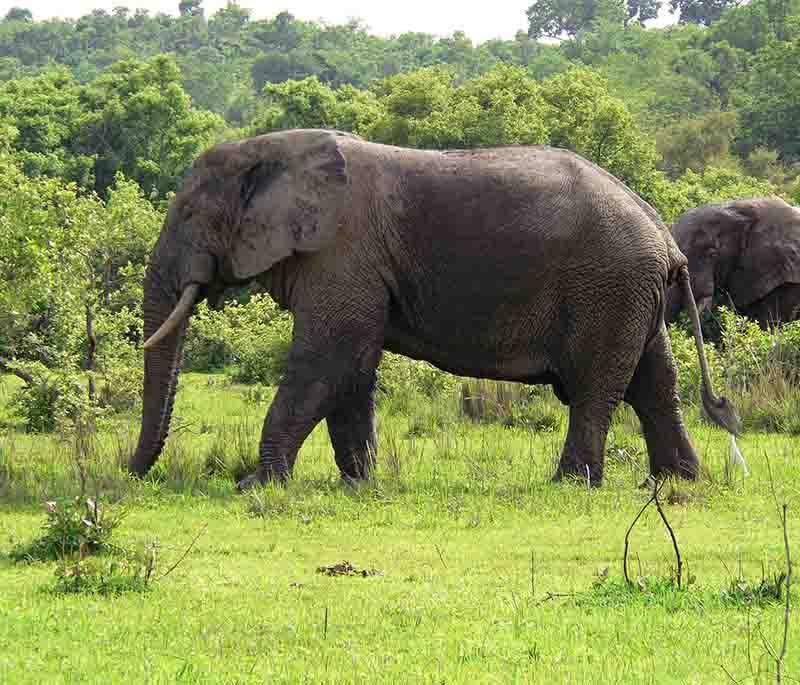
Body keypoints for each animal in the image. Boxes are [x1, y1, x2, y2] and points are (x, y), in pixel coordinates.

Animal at [130, 128, 736, 488]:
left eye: (189, 216)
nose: (134, 475)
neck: (269, 150)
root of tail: (666, 239)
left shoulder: (342, 252)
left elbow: (328, 359)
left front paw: (258, 487)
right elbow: (353, 368)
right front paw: (360, 485)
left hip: (607, 288)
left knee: (596, 387)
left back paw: (571, 484)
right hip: (632, 294)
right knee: (655, 382)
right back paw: (678, 483)